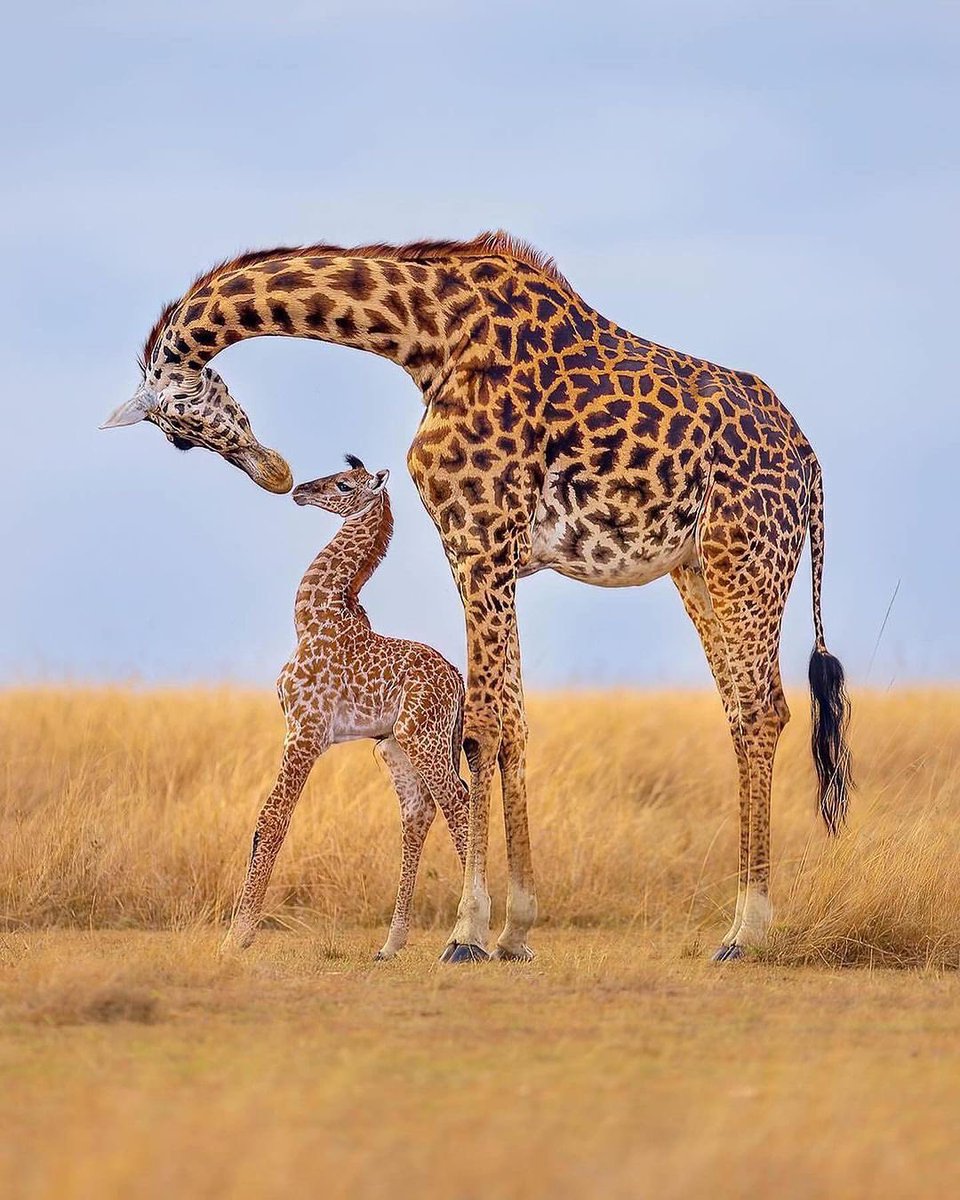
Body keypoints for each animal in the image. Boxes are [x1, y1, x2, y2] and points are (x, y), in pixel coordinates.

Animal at [222, 453, 468, 960]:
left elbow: (272, 819)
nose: (300, 491)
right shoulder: (306, 731)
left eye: (343, 484)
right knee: (418, 813)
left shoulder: (305, 729)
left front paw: (238, 937)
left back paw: (467, 936)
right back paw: (391, 945)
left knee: (459, 800)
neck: (312, 620)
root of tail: (456, 680)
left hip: (423, 737)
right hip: (395, 746)